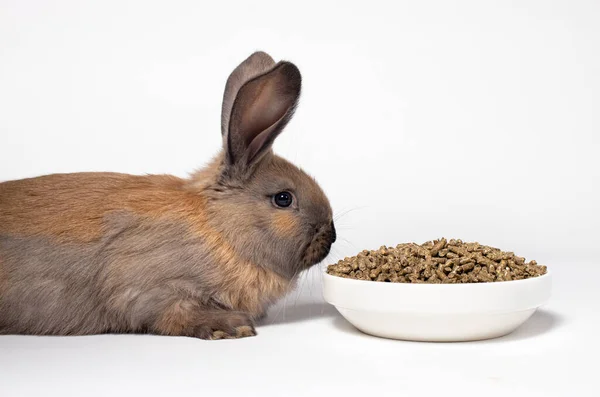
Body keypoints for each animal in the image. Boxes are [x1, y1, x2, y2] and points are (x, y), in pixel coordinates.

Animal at [0, 51, 338, 338]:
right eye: (283, 198)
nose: (331, 235)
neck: (221, 231)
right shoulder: (150, 287)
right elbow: (172, 314)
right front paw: (231, 326)